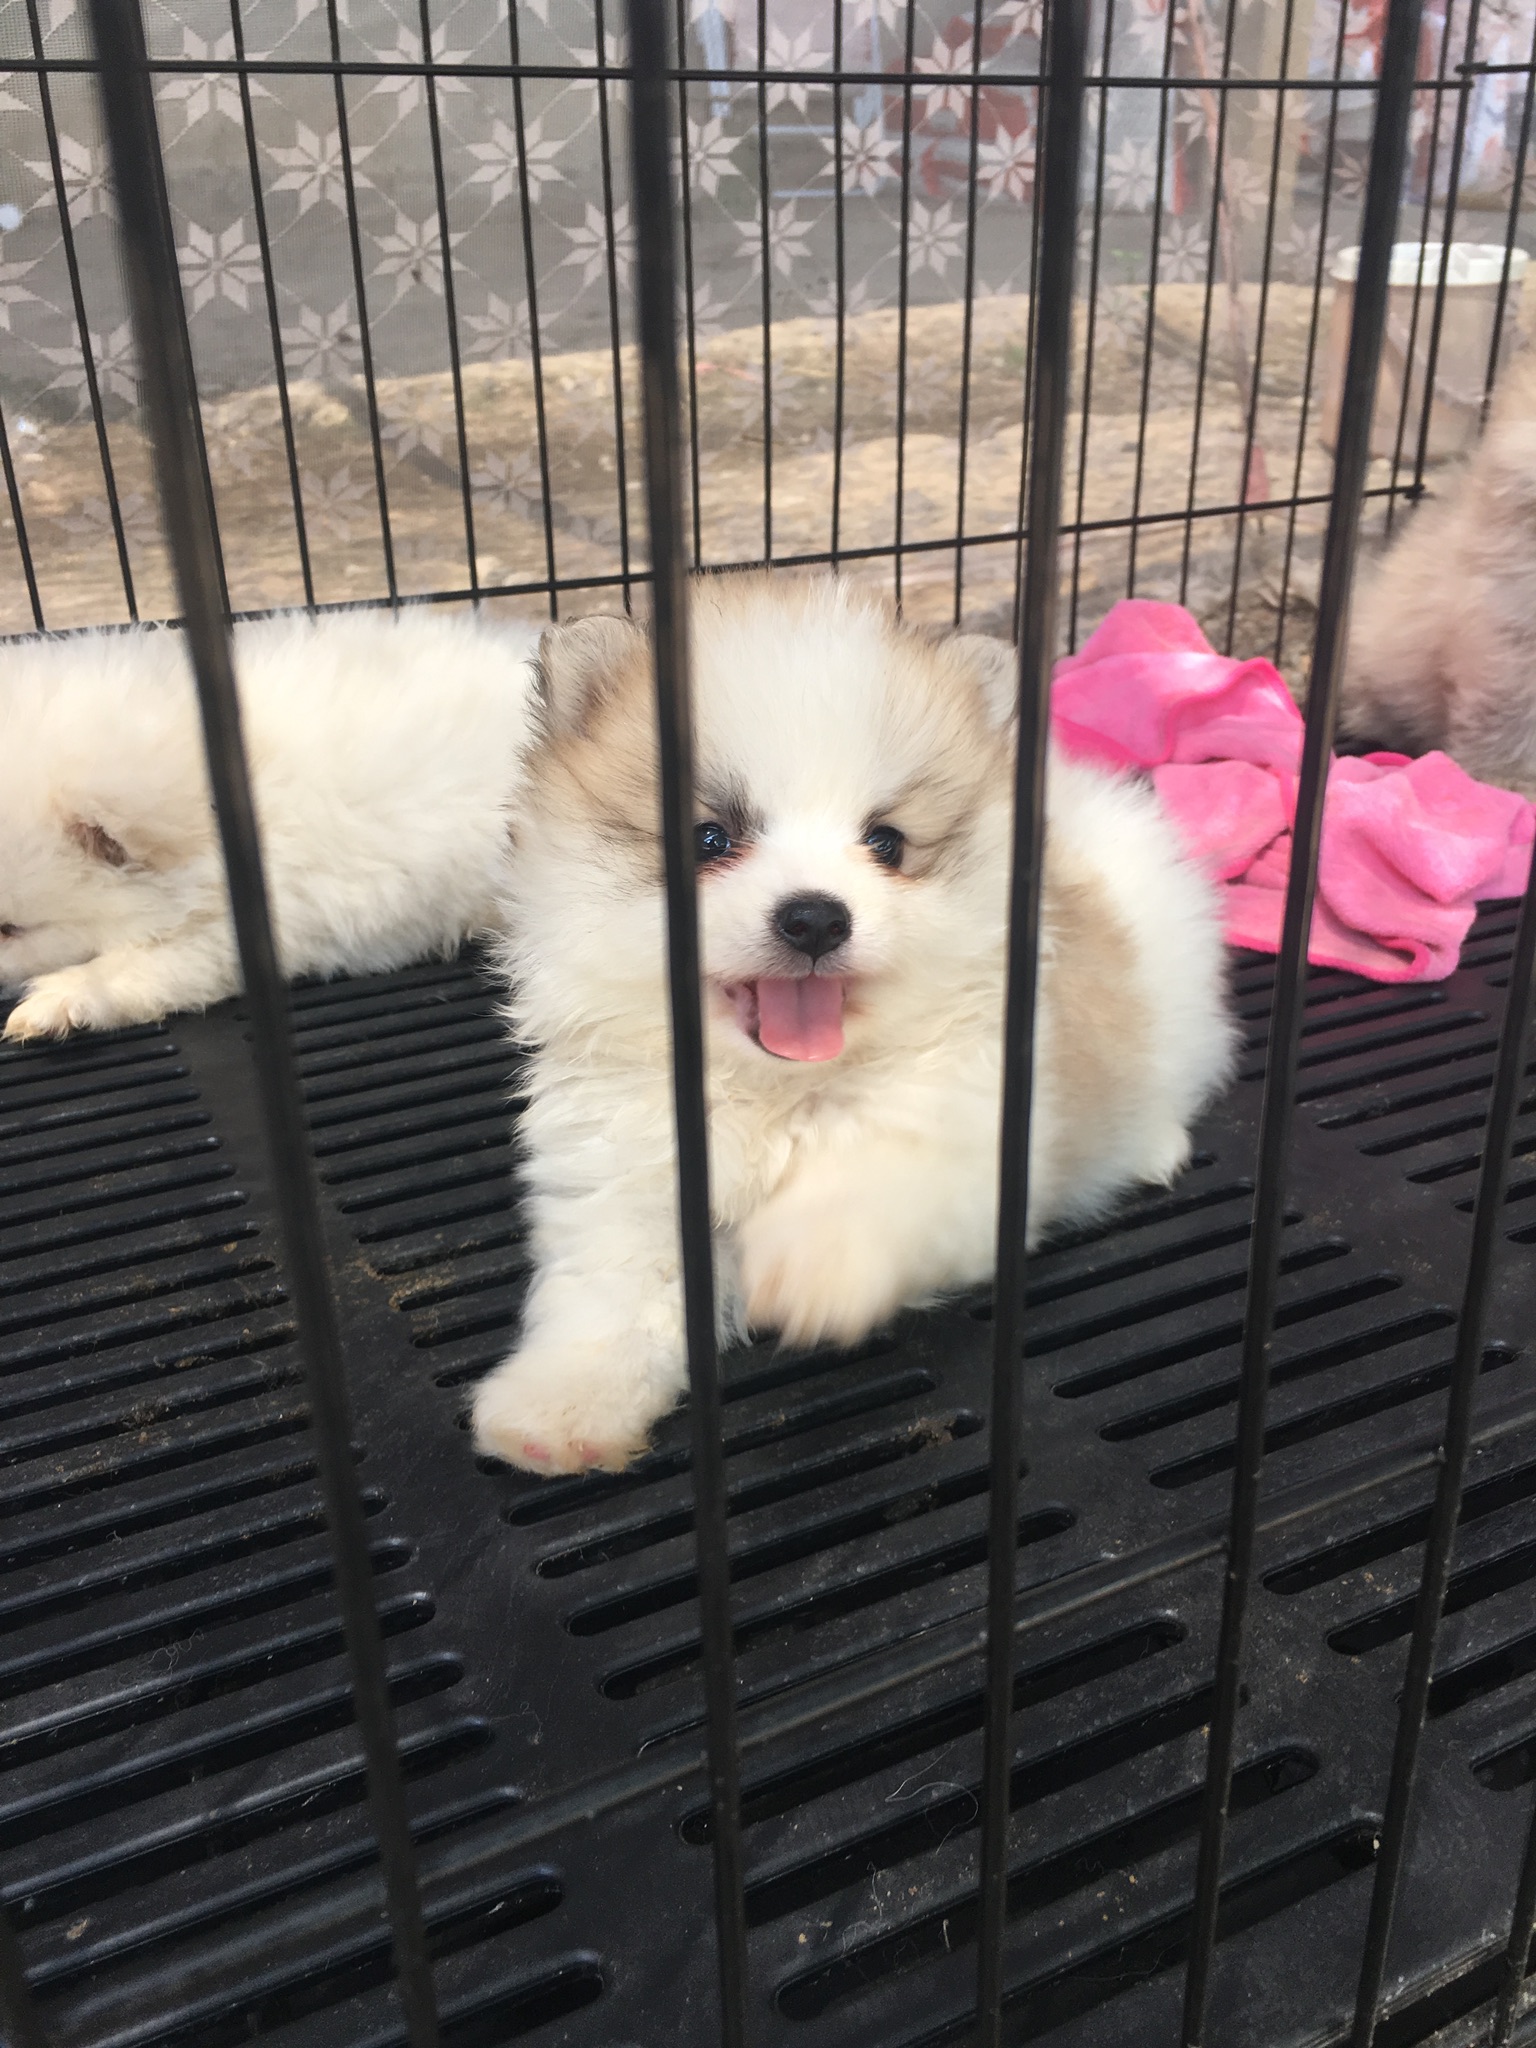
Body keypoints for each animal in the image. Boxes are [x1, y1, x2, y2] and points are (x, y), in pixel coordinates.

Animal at [471, 572, 1235, 1476]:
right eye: (710, 838)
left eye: (887, 843)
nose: (814, 917)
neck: (775, 1092)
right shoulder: (627, 1177)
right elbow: (610, 1298)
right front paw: (562, 1405)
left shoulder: (969, 1133)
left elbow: (877, 1186)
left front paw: (811, 1262)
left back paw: (1153, 1145)